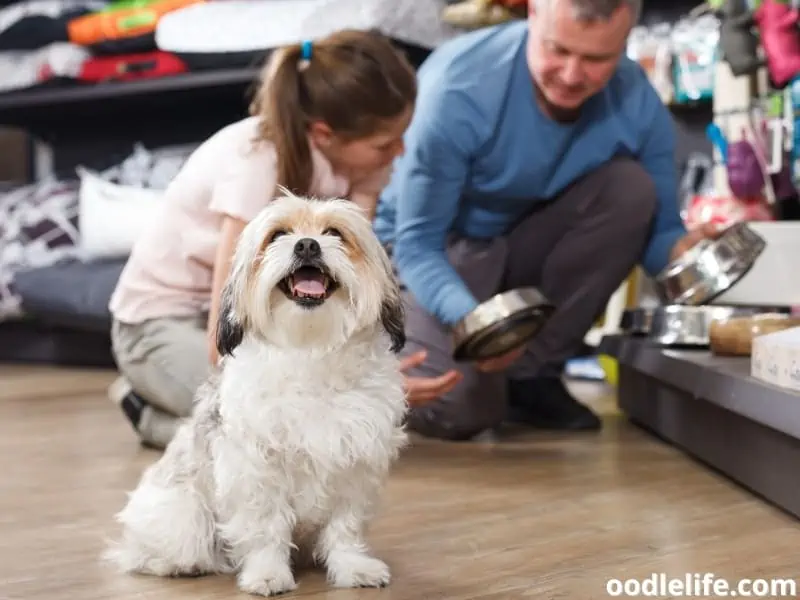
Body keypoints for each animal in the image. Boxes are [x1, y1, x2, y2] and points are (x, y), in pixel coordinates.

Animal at [103, 192, 410, 596]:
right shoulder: (256, 468)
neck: (311, 351)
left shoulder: (356, 464)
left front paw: (353, 567)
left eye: (334, 233)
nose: (307, 244)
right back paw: (183, 564)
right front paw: (267, 572)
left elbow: (345, 527)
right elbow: (266, 528)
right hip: (184, 516)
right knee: (151, 551)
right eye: (277, 235)